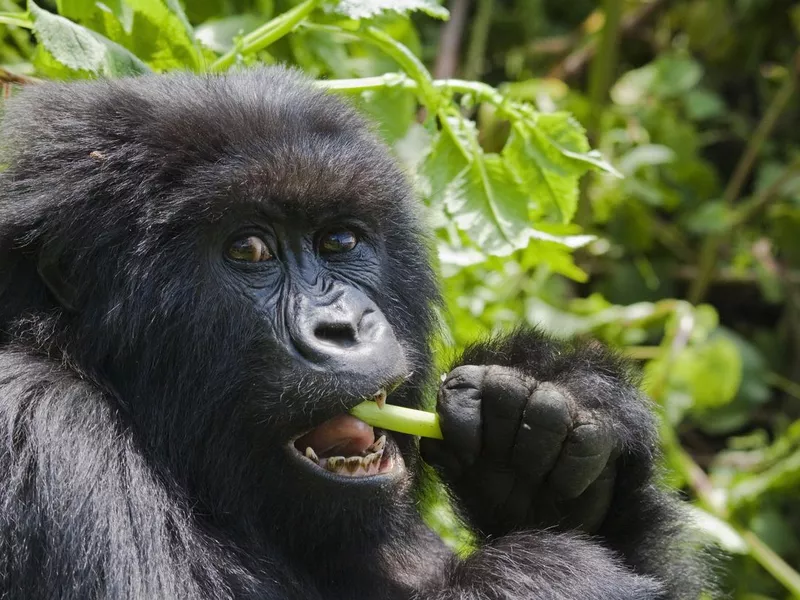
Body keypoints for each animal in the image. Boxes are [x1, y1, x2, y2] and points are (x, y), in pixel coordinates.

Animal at [0, 69, 708, 596]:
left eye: (339, 241)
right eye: (249, 250)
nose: (341, 326)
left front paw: (544, 419)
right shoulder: (41, 423)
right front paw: (547, 573)